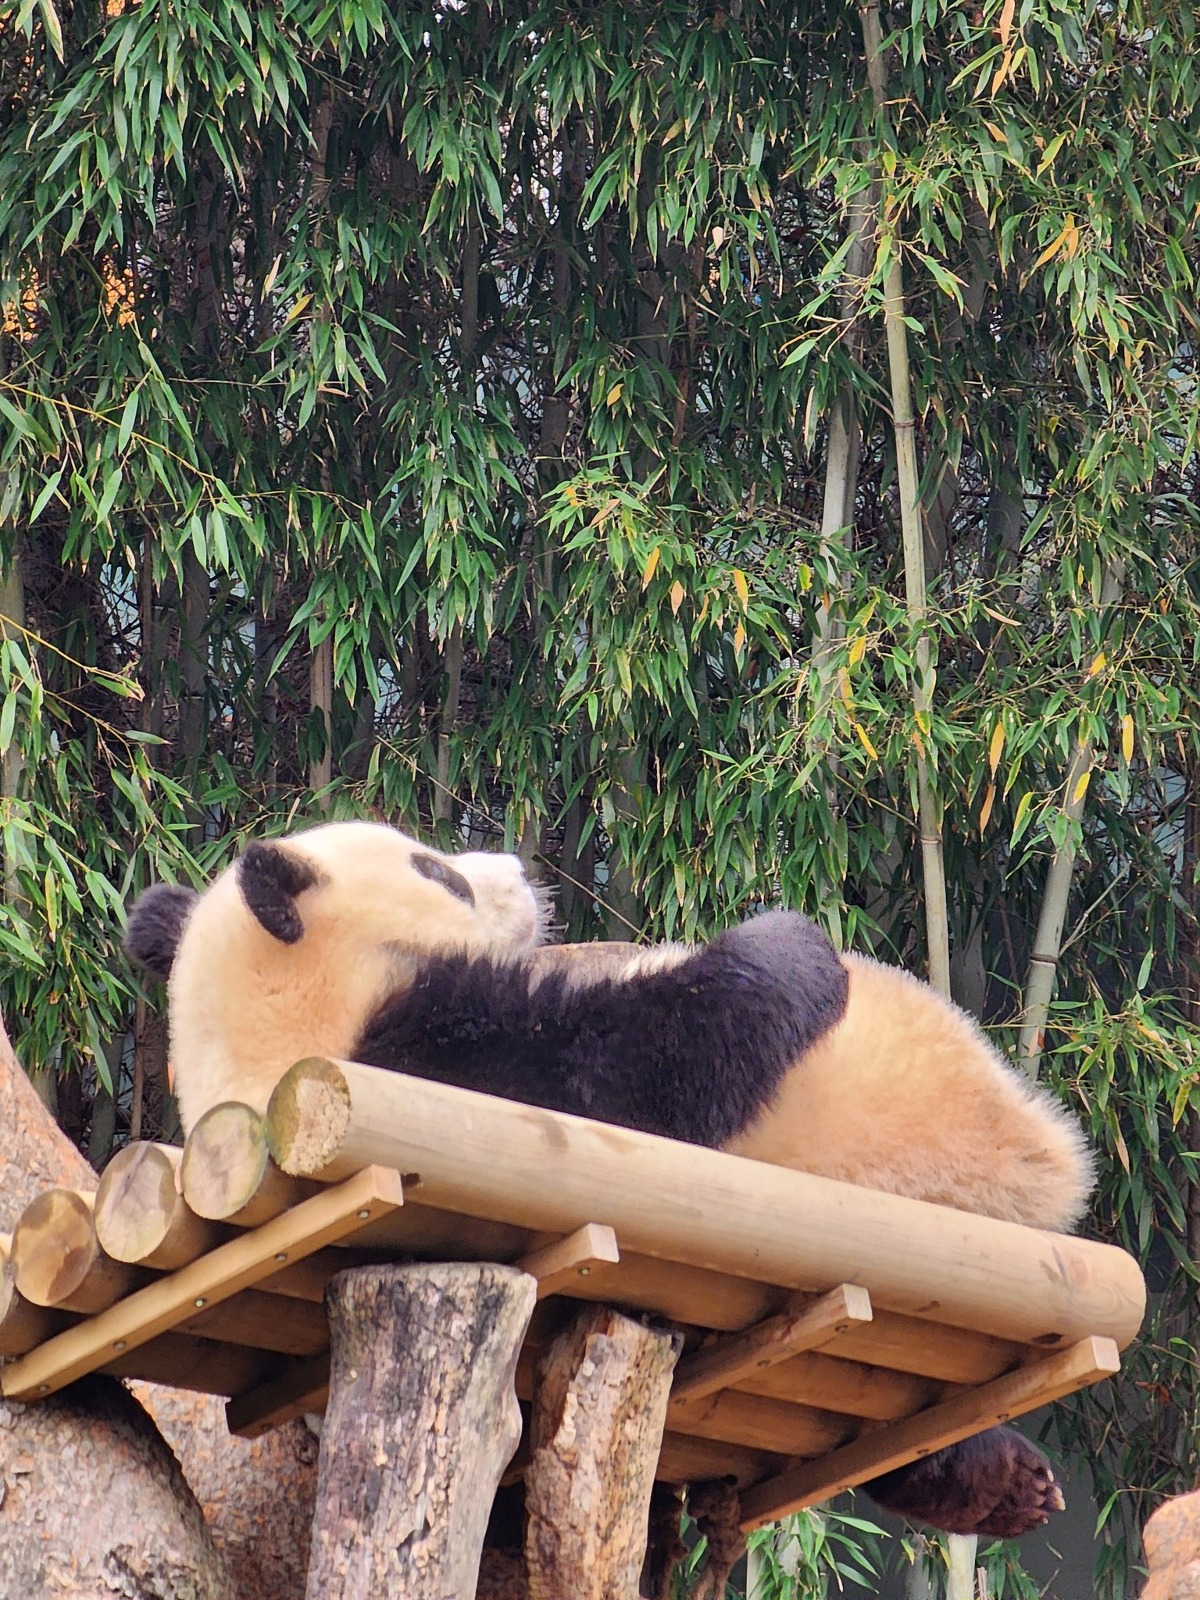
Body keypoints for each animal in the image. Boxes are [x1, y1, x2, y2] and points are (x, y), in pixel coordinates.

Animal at [122, 819, 1088, 1542]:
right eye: (438, 872)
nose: (516, 866)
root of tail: (1046, 1162)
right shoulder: (442, 1073)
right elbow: (641, 1072)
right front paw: (792, 940)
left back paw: (1007, 1486)